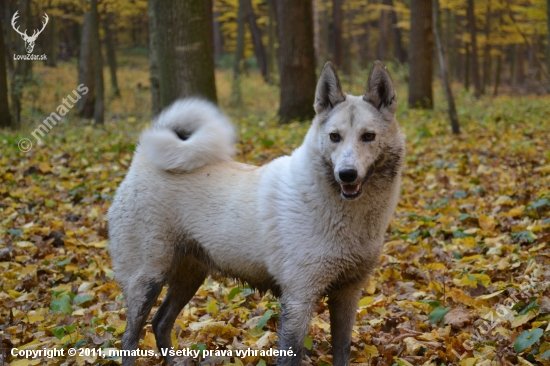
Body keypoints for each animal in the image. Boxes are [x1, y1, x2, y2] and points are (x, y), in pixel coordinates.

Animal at [110, 61, 408, 364]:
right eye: (334, 137)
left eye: (368, 136)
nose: (347, 174)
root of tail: (142, 159)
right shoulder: (298, 299)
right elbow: (290, 355)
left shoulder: (347, 296)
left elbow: (343, 350)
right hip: (146, 281)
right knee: (130, 338)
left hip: (189, 278)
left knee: (160, 322)